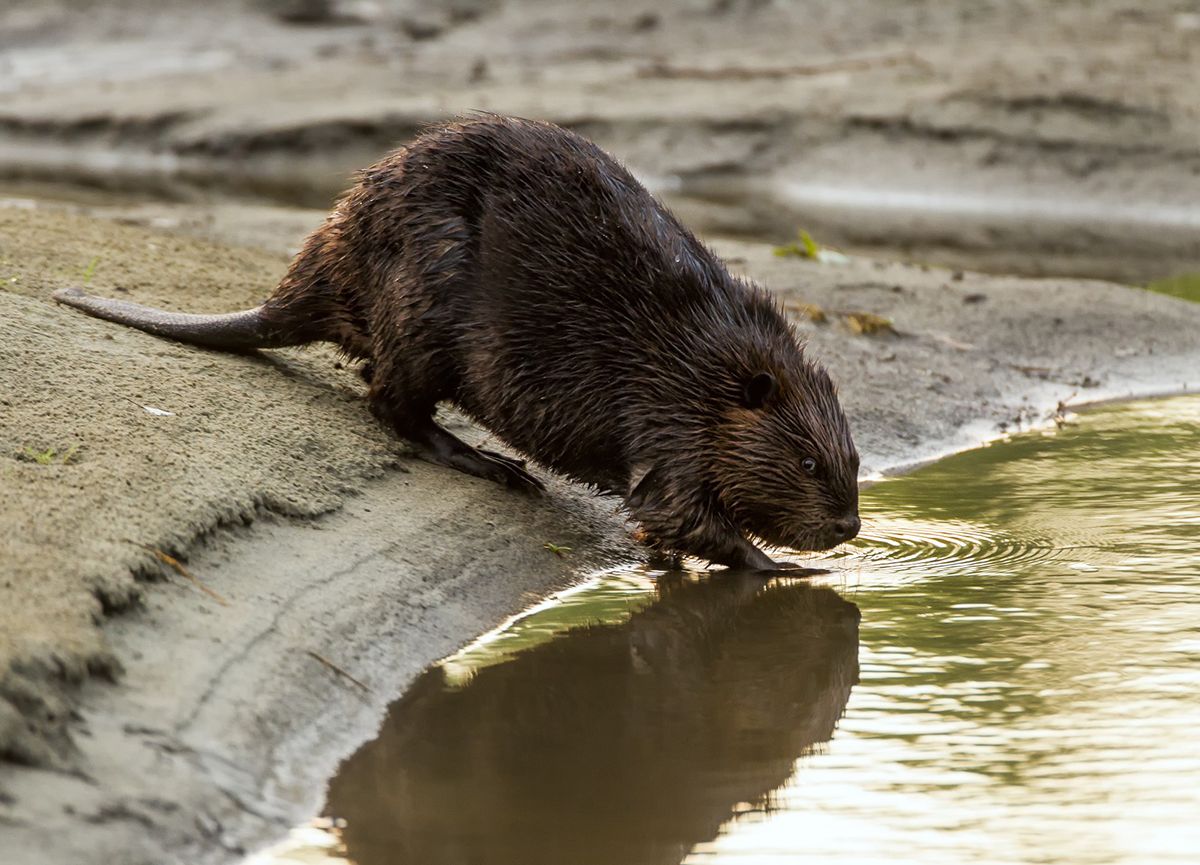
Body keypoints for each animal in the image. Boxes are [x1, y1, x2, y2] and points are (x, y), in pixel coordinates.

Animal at [51, 116, 859, 573]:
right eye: (809, 462)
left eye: (849, 460)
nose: (850, 525)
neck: (712, 361)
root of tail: (311, 277)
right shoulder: (671, 417)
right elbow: (674, 507)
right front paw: (785, 569)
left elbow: (662, 522)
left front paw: (667, 560)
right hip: (424, 304)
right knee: (391, 405)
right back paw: (496, 465)